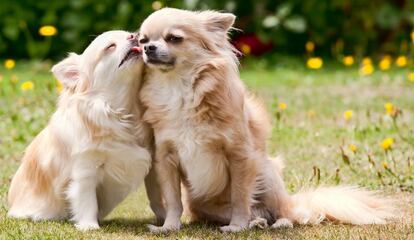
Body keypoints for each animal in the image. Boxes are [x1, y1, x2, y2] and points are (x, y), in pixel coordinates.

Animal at [8, 30, 158, 231]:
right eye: (110, 47)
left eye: (133, 34)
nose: (135, 35)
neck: (121, 110)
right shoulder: (85, 169)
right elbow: (87, 199)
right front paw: (89, 225)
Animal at [138, 7, 394, 232]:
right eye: (142, 40)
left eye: (174, 38)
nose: (148, 48)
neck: (177, 88)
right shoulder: (166, 158)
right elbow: (173, 200)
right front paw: (169, 227)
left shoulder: (240, 155)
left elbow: (240, 196)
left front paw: (237, 227)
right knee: (256, 213)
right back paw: (257, 222)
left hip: (267, 174)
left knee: (283, 212)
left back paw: (276, 223)